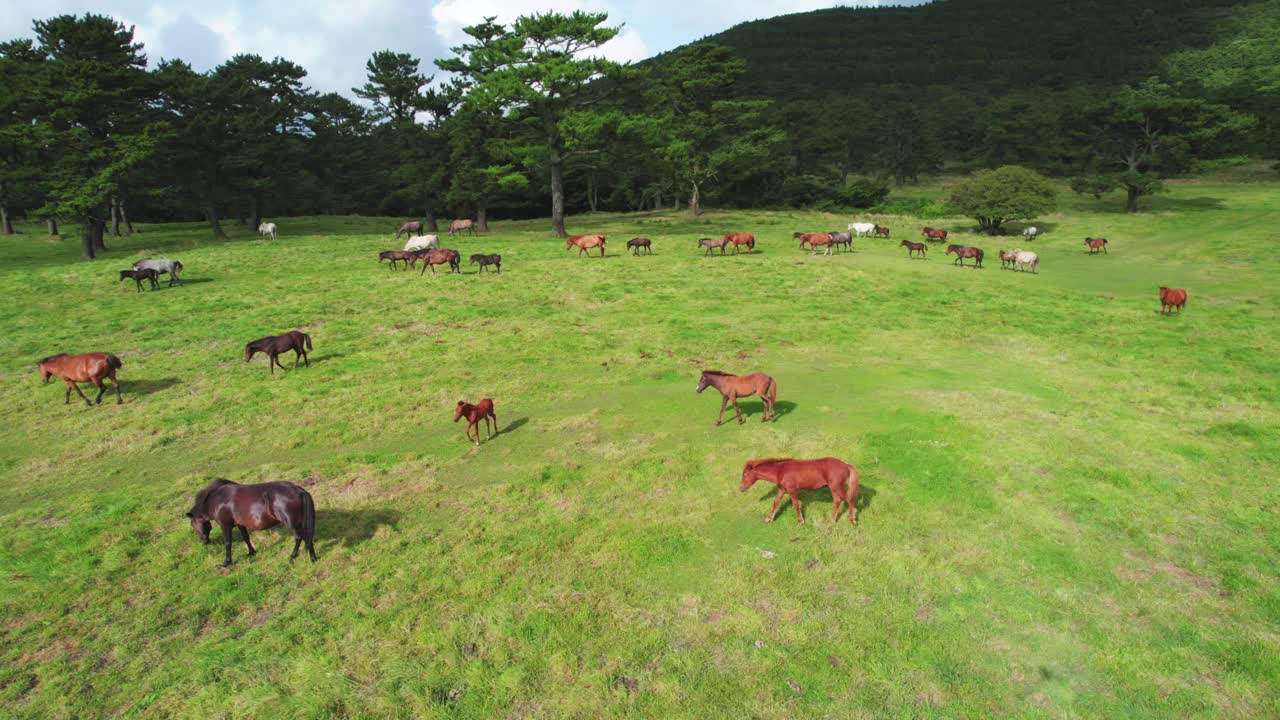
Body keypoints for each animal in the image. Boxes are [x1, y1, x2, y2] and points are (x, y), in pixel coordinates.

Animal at [186, 476, 317, 566]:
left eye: (193, 525)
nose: (203, 541)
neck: (217, 499)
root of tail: (299, 491)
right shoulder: (240, 524)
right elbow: (246, 537)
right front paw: (251, 552)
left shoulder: (225, 525)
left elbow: (228, 543)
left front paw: (227, 562)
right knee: (307, 537)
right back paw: (312, 557)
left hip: (292, 523)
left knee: (299, 538)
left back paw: (293, 556)